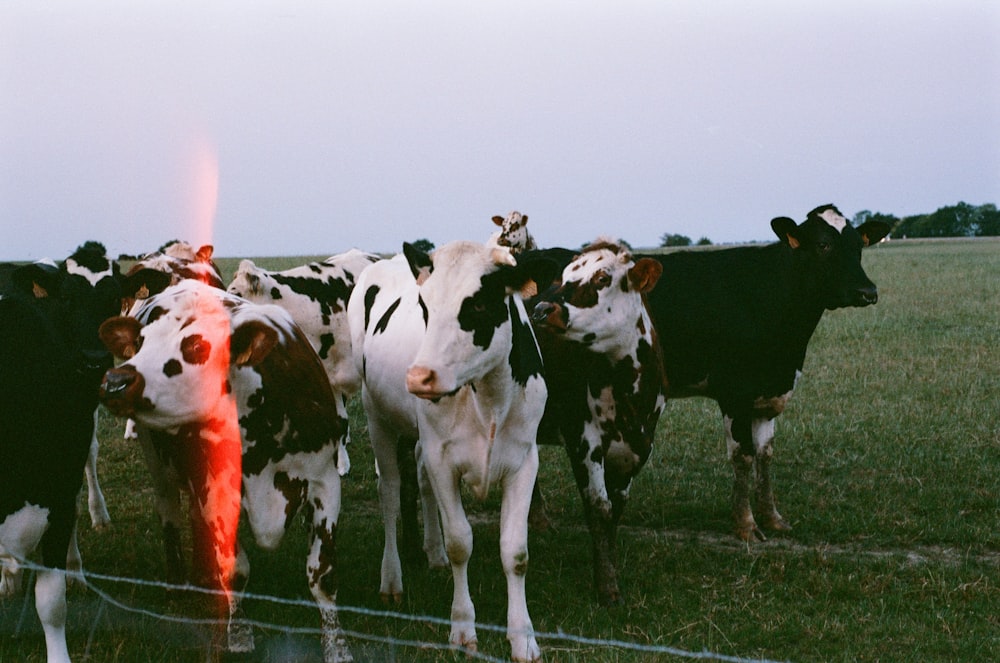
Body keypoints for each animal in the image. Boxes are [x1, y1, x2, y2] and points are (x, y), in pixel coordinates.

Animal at [97, 282, 354, 663]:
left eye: (197, 346)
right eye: (140, 341)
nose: (116, 381)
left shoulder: (324, 481)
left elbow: (322, 574)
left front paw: (337, 646)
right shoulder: (216, 491)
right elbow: (234, 568)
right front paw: (239, 632)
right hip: (159, 463)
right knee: (169, 512)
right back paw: (178, 581)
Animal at [348, 241, 560, 660]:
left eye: (477, 305)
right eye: (424, 306)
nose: (419, 377)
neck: (489, 399)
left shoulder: (524, 460)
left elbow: (516, 552)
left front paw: (523, 637)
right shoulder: (442, 459)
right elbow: (461, 542)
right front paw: (462, 628)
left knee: (420, 483)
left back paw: (433, 552)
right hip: (377, 417)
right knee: (390, 492)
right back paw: (392, 578)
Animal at [528, 239, 668, 608]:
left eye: (603, 278)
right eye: (563, 278)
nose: (541, 309)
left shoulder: (640, 444)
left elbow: (616, 508)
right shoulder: (581, 437)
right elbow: (599, 507)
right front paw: (606, 587)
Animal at [640, 205, 892, 544]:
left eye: (859, 246)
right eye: (823, 244)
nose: (867, 291)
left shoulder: (770, 394)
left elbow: (765, 454)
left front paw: (772, 517)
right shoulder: (734, 394)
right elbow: (743, 456)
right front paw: (745, 523)